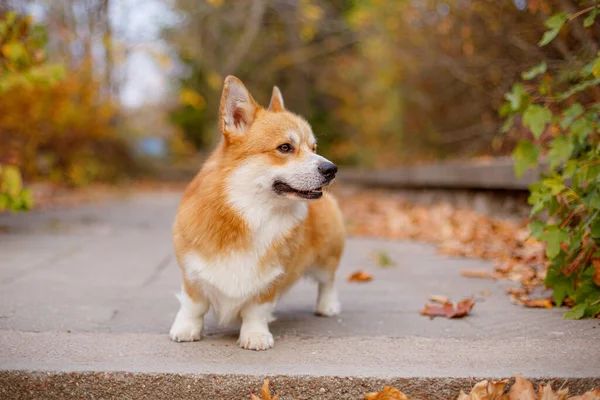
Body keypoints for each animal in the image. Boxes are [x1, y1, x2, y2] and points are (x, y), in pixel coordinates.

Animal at [169, 75, 346, 350]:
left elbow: (256, 310)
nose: (332, 169)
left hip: (326, 255)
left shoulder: (271, 280)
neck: (252, 213)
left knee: (328, 281)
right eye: (285, 147)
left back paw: (327, 306)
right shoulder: (192, 272)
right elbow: (193, 305)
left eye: (314, 147)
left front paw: (255, 335)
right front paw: (186, 329)